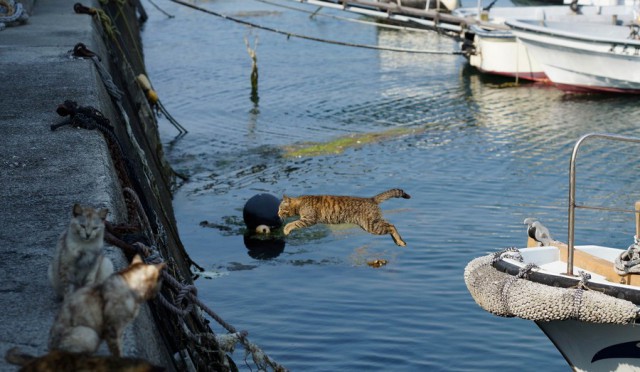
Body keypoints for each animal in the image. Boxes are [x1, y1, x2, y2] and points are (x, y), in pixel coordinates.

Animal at [276, 187, 410, 246]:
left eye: (281, 209)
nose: (277, 214)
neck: (301, 203)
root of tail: (371, 199)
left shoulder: (309, 219)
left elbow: (293, 223)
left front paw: (286, 229)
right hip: (371, 223)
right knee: (390, 224)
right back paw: (398, 241)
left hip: (371, 226)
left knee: (391, 226)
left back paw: (399, 241)